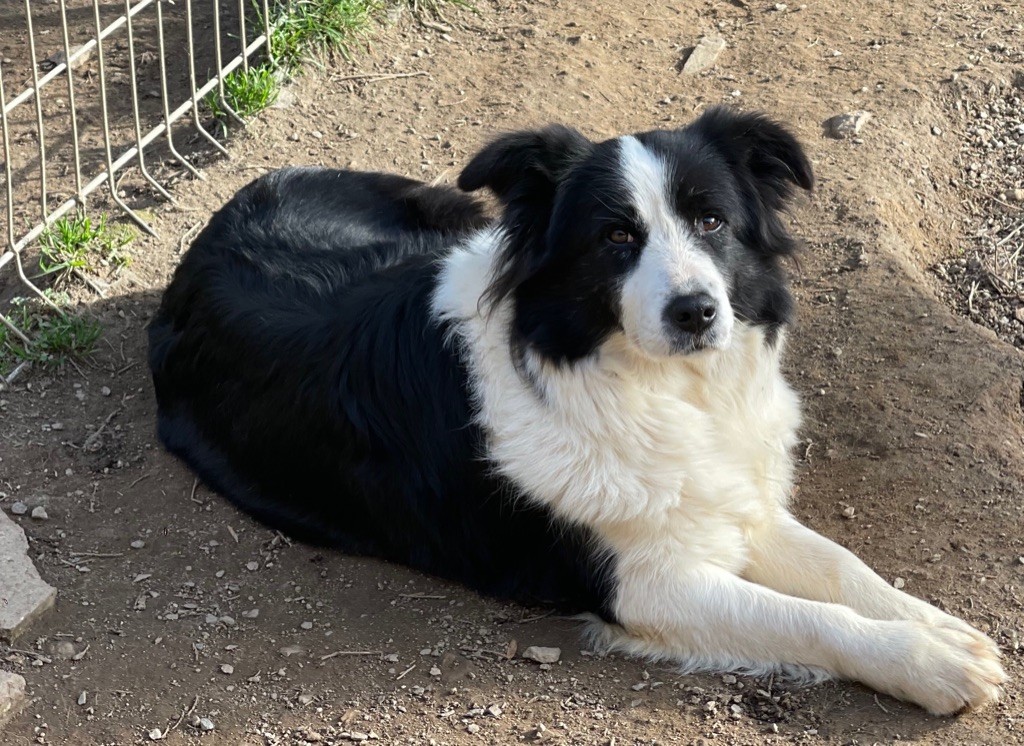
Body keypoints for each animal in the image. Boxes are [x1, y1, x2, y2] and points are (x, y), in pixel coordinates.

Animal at [148, 107, 1006, 714]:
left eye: (712, 221)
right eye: (616, 236)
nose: (697, 312)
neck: (656, 388)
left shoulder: (732, 499)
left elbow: (842, 569)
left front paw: (937, 627)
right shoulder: (643, 583)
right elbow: (807, 618)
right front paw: (930, 663)